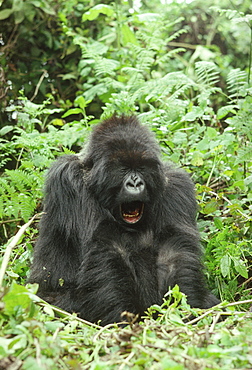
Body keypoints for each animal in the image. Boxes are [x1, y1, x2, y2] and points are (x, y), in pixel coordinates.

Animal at [28, 115, 219, 324]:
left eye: (141, 168)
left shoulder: (176, 185)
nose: (135, 183)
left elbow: (174, 252)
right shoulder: (68, 180)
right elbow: (107, 247)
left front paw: (185, 309)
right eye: (122, 169)